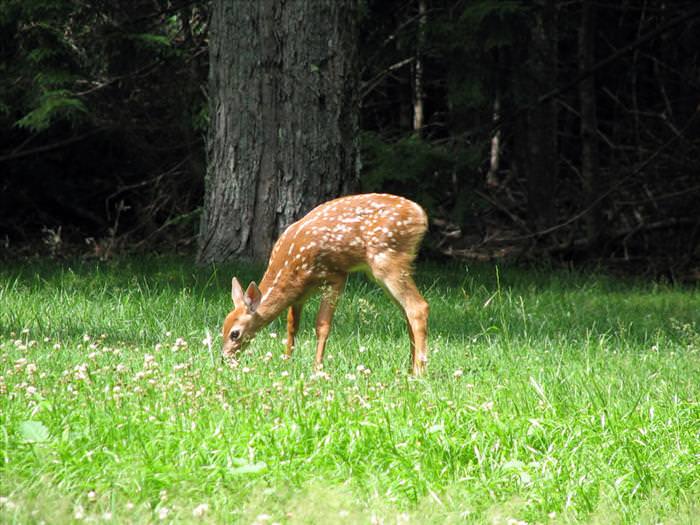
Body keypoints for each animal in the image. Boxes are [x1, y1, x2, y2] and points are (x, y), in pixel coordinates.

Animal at [224, 194, 430, 374]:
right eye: (222, 328)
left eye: (235, 333)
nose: (225, 358)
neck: (291, 268)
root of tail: (420, 214)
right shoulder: (300, 295)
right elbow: (292, 325)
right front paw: (287, 361)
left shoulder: (335, 276)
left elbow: (322, 325)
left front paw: (317, 368)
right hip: (380, 271)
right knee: (406, 311)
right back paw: (410, 369)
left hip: (388, 260)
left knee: (418, 307)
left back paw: (419, 372)